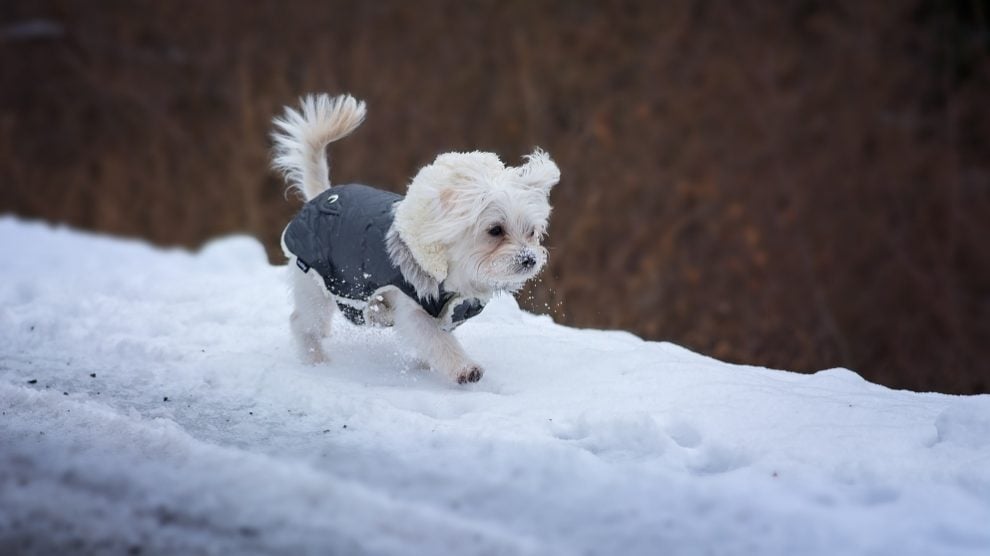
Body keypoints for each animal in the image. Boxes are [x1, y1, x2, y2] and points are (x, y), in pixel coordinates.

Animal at [272, 94, 560, 382]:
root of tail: (320, 196)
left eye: (532, 232)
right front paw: (464, 368)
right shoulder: (413, 309)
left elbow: (433, 343)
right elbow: (437, 340)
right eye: (496, 230)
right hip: (315, 283)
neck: (455, 274)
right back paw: (316, 359)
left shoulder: (448, 313)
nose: (529, 259)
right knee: (302, 322)